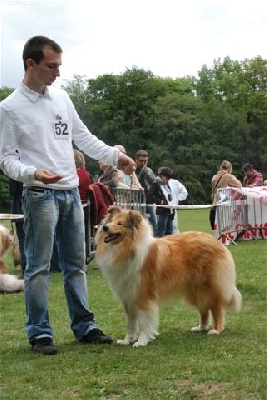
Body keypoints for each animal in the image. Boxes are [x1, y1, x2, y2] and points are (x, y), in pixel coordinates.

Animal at [96, 206, 243, 346]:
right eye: (111, 221)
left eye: (120, 224)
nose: (104, 227)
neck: (127, 249)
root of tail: (215, 241)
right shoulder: (127, 297)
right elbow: (131, 324)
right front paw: (127, 340)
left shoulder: (143, 296)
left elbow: (144, 322)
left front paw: (142, 341)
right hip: (195, 290)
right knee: (204, 310)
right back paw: (200, 327)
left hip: (209, 287)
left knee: (217, 308)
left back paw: (216, 330)